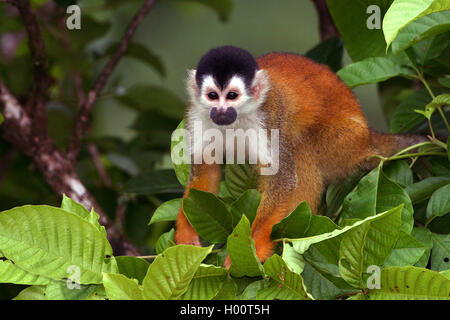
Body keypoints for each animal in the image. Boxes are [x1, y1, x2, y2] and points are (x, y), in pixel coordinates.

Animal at [173, 45, 426, 264]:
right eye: (213, 96)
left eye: (232, 95)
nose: (221, 111)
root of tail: (368, 137)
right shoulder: (197, 117)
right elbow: (205, 171)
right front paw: (186, 233)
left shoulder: (270, 117)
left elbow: (283, 177)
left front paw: (253, 249)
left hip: (345, 143)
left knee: (301, 148)